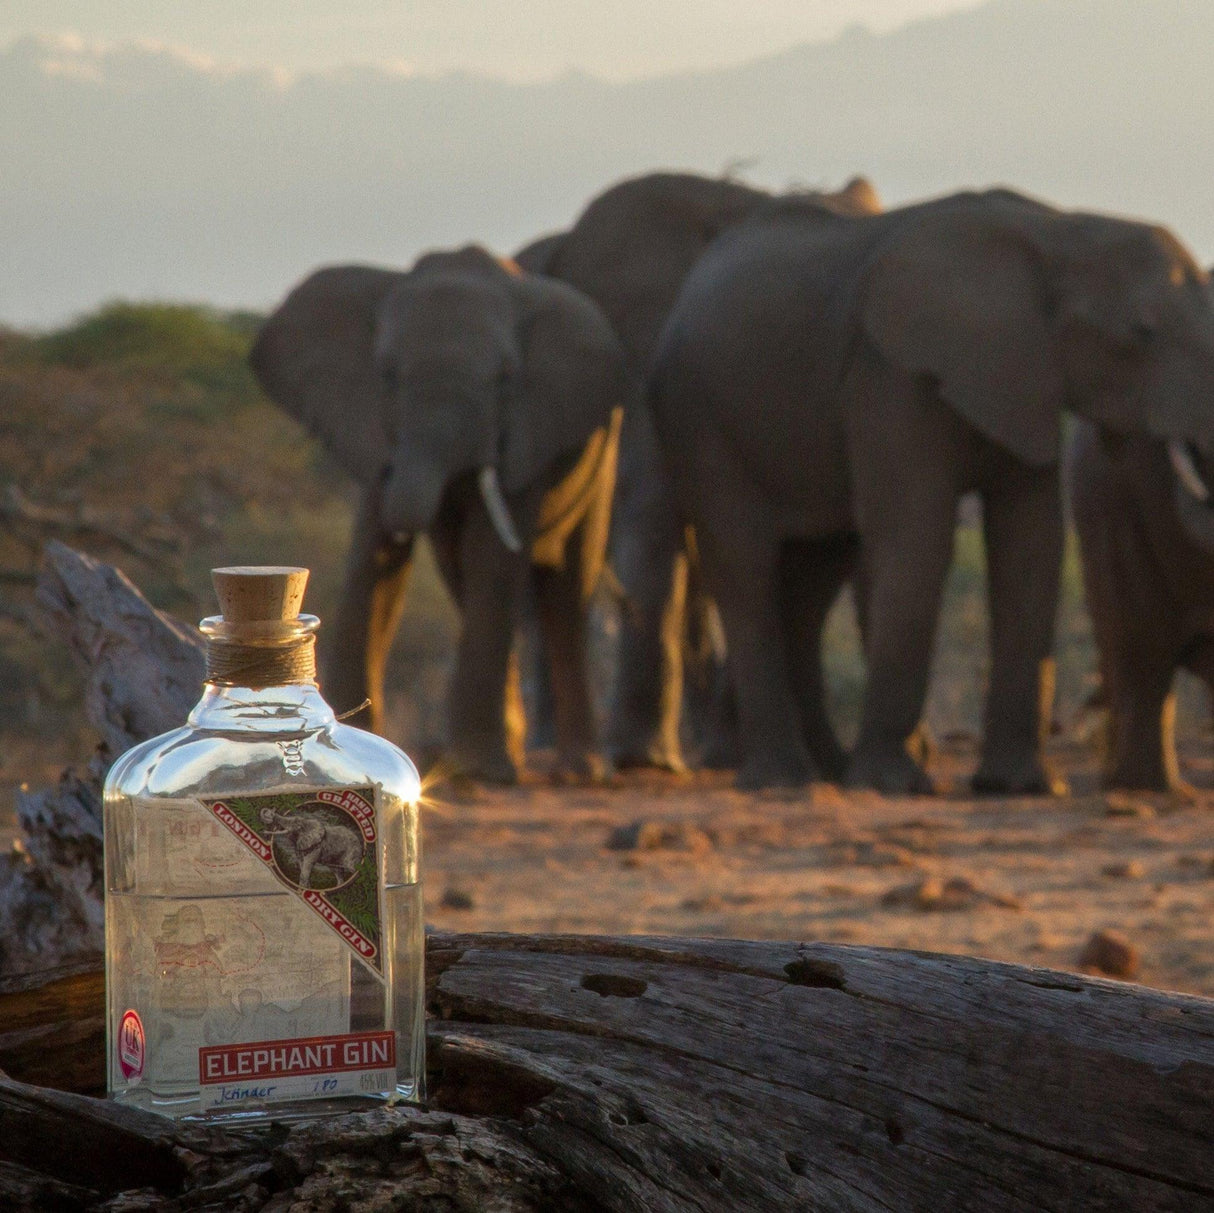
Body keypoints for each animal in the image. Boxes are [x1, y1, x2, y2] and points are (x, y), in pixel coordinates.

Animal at [250, 245, 628, 783]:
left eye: (505, 379)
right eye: (388, 374)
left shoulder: (525, 431)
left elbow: (492, 557)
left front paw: (482, 771)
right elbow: (377, 555)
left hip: (604, 451)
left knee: (566, 587)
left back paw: (580, 771)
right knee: (460, 575)